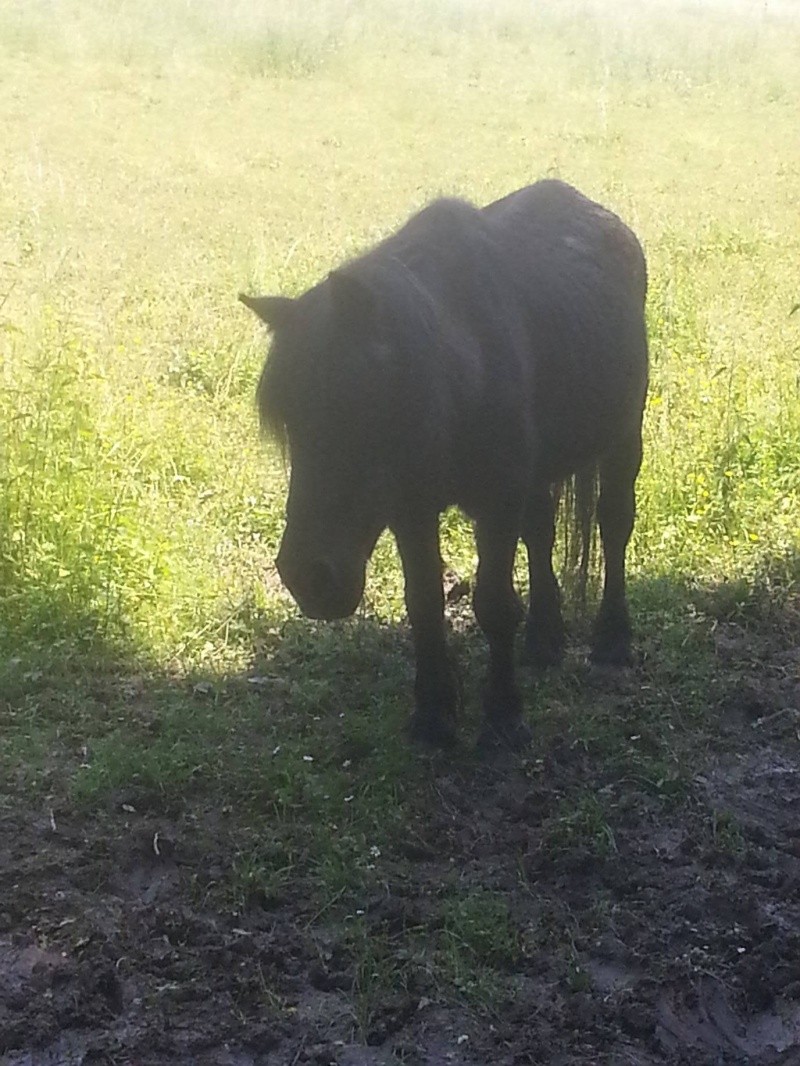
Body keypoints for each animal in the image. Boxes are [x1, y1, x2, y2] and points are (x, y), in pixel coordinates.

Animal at [241, 181, 648, 750]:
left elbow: (494, 605)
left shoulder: (496, 504)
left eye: (353, 407)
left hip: (623, 437)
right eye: (289, 424)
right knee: (541, 533)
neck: (462, 373)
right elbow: (424, 603)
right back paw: (544, 640)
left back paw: (612, 641)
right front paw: (433, 714)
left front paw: (503, 717)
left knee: (613, 525)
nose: (308, 578)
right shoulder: (411, 510)